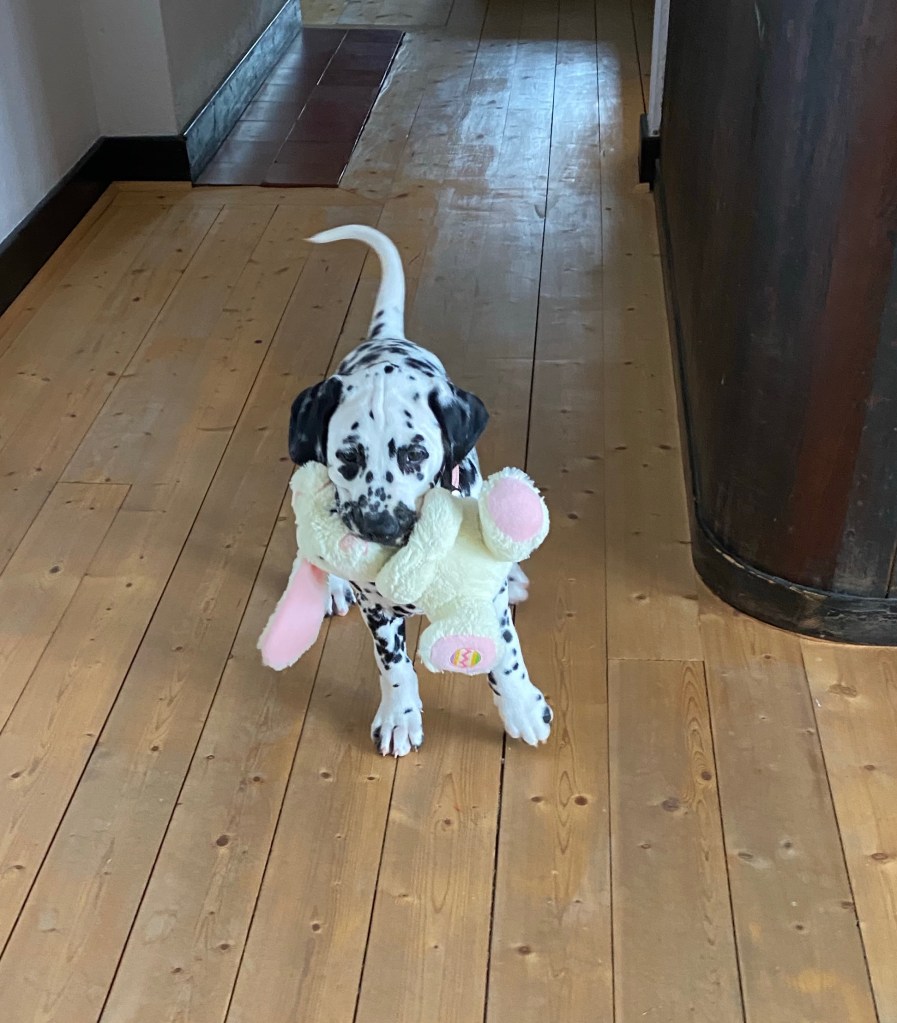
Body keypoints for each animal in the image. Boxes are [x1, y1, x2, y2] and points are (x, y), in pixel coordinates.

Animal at [288, 225, 552, 756]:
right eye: (348, 458)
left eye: (415, 454)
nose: (379, 527)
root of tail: (386, 338)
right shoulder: (375, 605)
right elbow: (392, 662)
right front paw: (399, 715)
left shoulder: (488, 603)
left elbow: (505, 652)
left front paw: (521, 706)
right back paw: (331, 584)